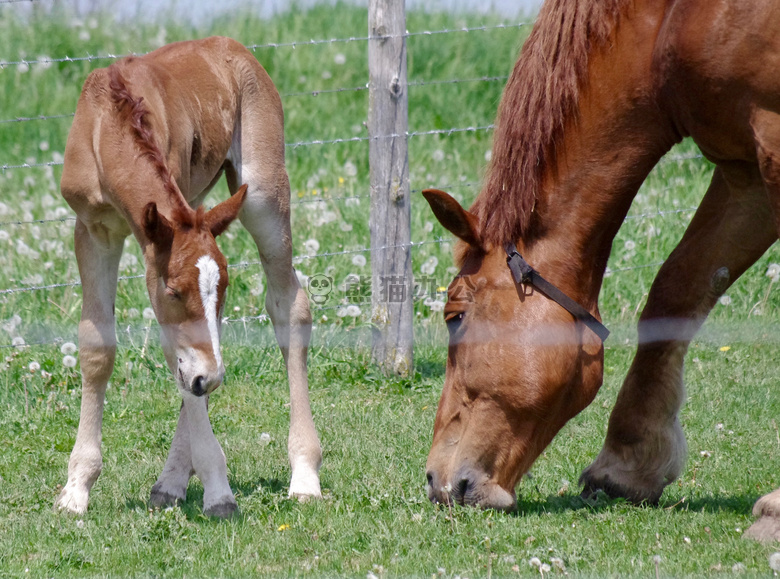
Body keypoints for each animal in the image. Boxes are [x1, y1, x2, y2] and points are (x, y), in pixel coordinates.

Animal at [56, 36, 322, 516]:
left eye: (225, 287)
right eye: (174, 290)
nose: (211, 380)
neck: (107, 126)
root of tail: (231, 45)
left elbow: (176, 356)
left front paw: (218, 490)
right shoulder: (93, 230)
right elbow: (99, 346)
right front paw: (76, 489)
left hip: (262, 194)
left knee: (288, 306)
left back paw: (304, 473)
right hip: (203, 205)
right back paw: (170, 483)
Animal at [426, 0, 780, 540]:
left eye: (455, 317)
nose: (436, 481)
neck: (668, 26)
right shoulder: (745, 169)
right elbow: (679, 287)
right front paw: (631, 463)